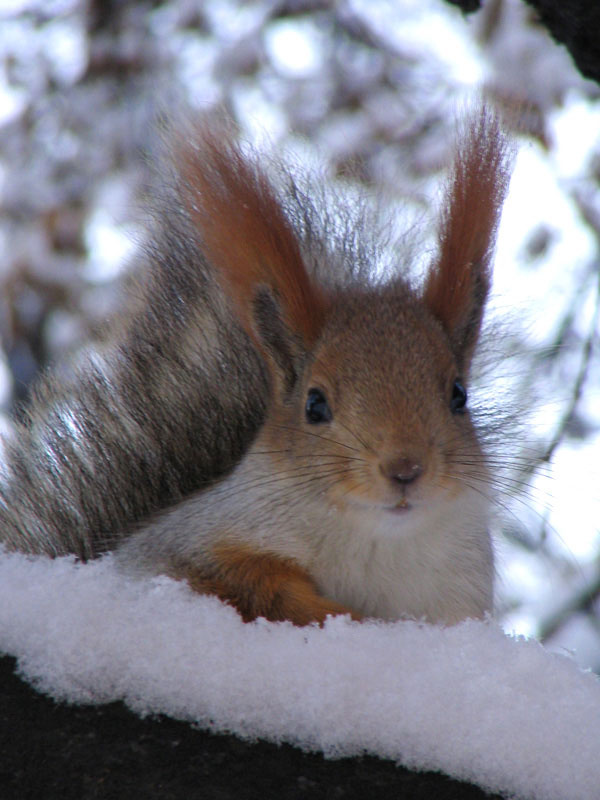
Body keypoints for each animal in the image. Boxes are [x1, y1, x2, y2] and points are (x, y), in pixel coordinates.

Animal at [1, 107, 514, 626]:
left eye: (458, 395)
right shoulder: (202, 542)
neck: (378, 539)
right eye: (314, 404)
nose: (405, 468)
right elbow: (255, 584)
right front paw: (339, 614)